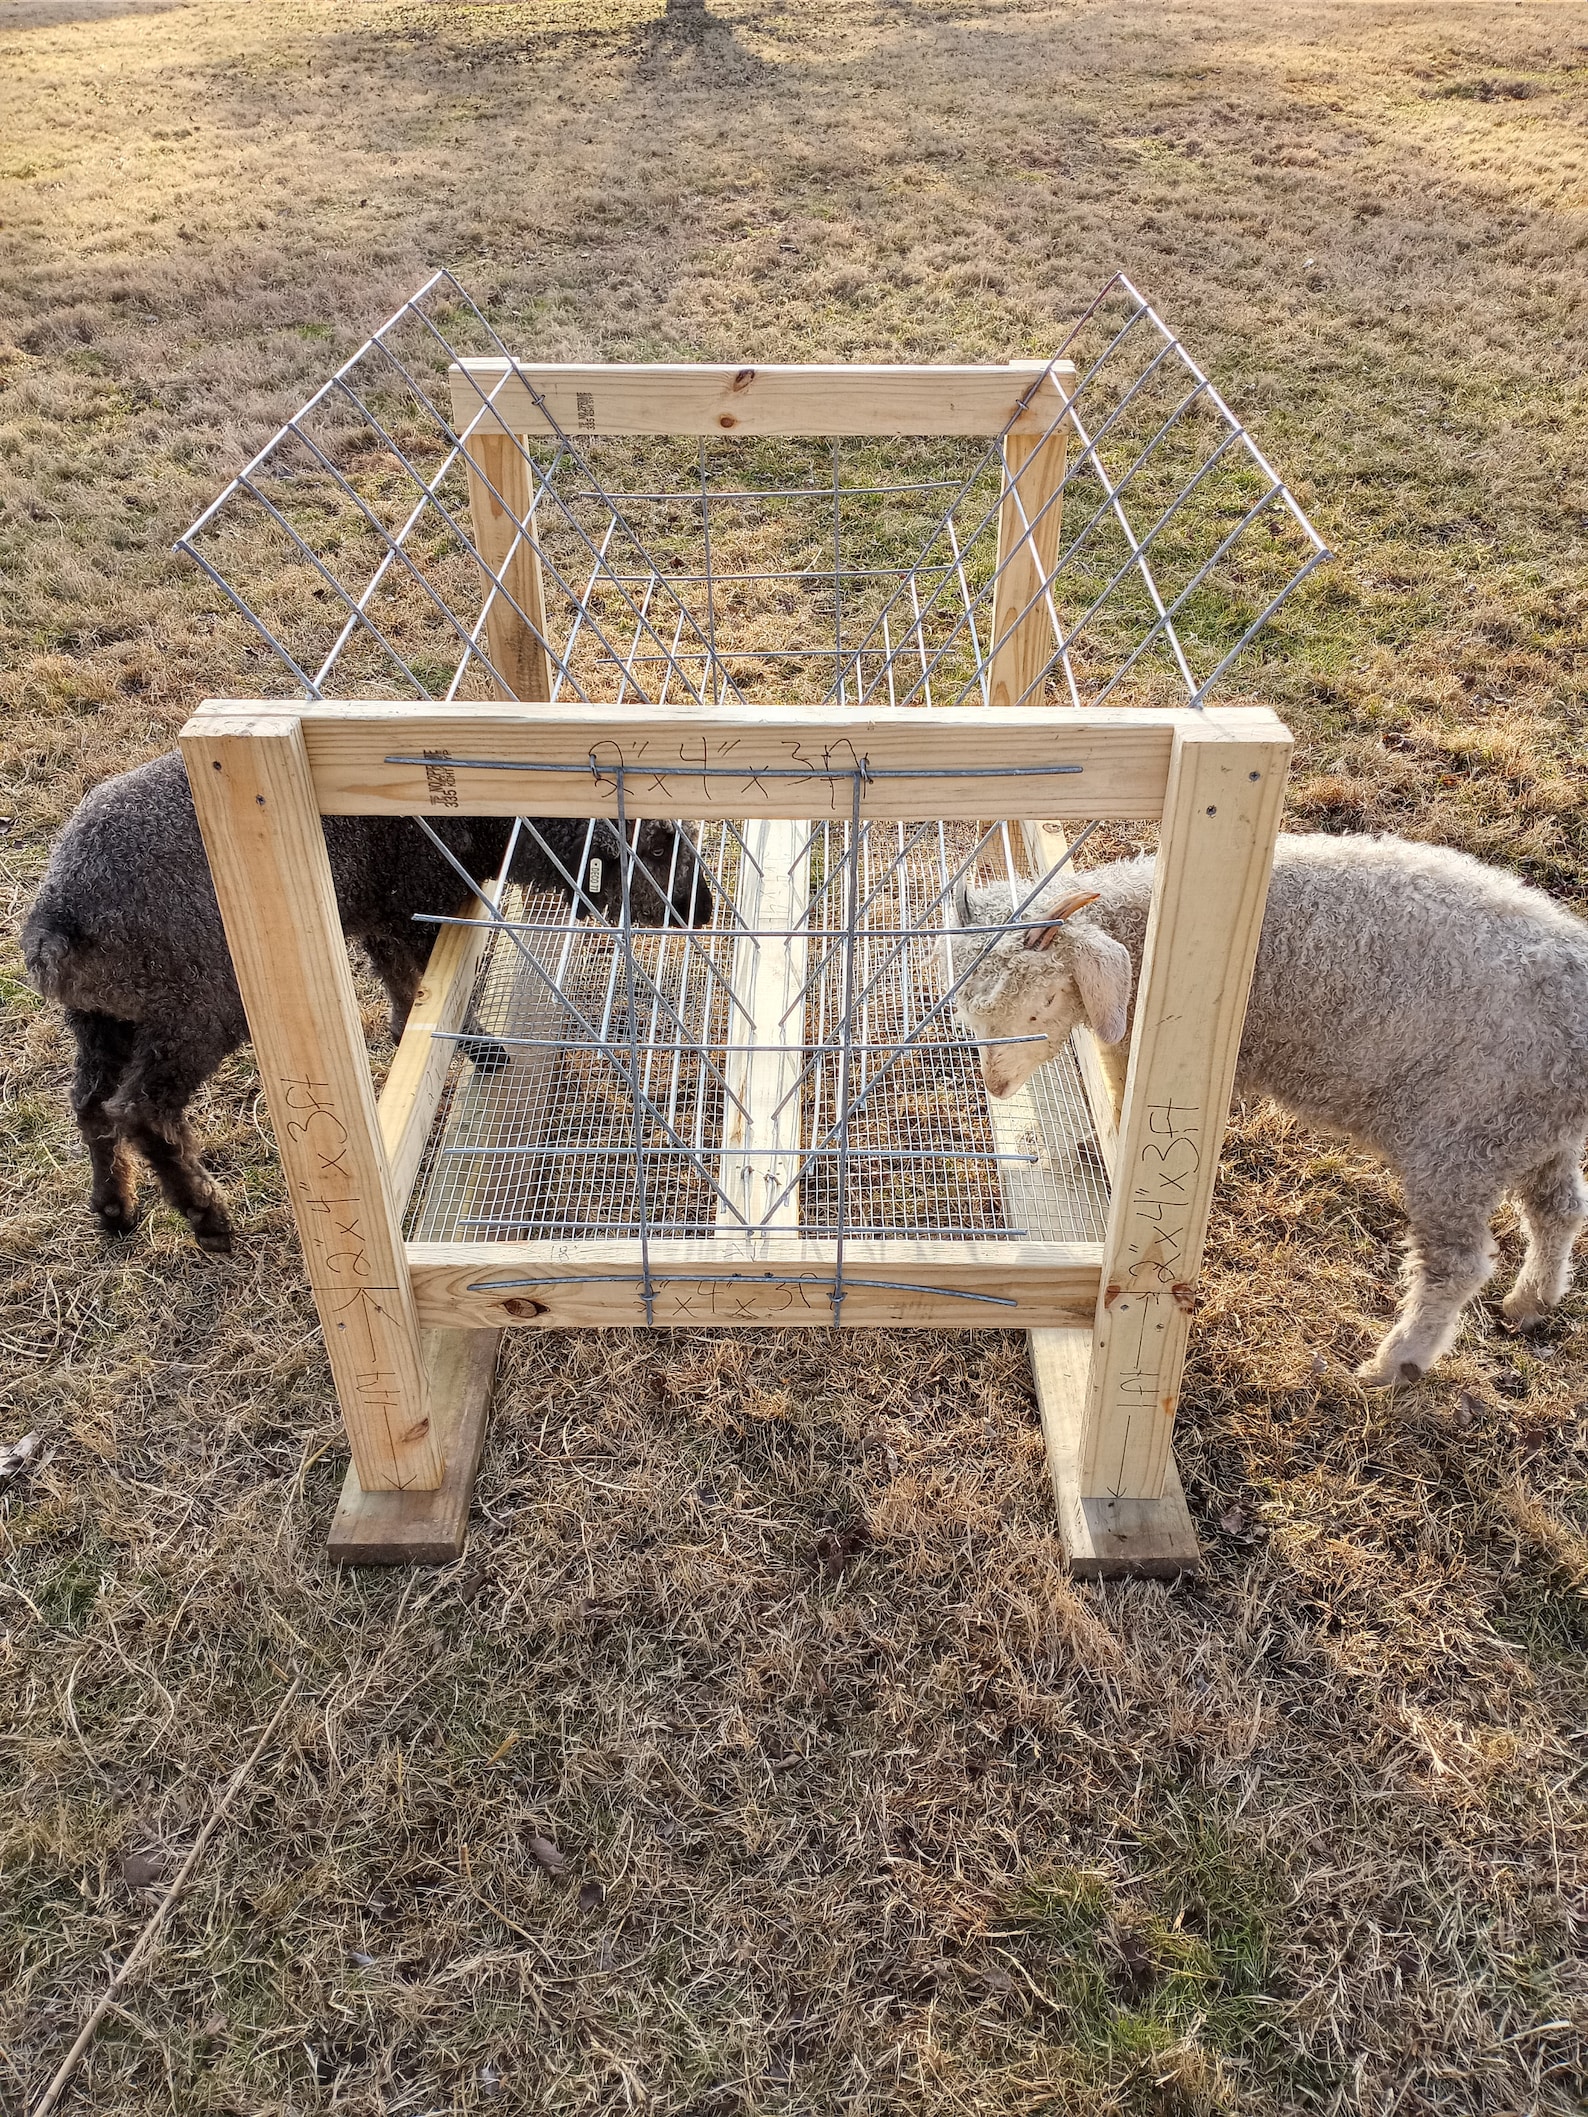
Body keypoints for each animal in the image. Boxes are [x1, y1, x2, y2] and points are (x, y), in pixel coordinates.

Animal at [23, 750, 713, 1255]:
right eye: (660, 850)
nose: (705, 909)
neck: (490, 826)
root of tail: (57, 920)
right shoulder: (417, 907)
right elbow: (439, 989)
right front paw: (481, 1051)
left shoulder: (382, 917)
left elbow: (406, 988)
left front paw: (410, 1029)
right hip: (197, 1004)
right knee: (142, 1111)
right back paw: (207, 1217)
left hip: (104, 1016)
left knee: (90, 1104)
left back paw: (115, 1208)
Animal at [949, 832, 1588, 1386]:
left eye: (1045, 1001)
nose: (996, 1085)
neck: (1146, 922)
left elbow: (1126, 1107)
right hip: (1528, 1132)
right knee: (1559, 1210)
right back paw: (1530, 1301)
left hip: (1460, 1140)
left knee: (1456, 1264)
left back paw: (1394, 1363)